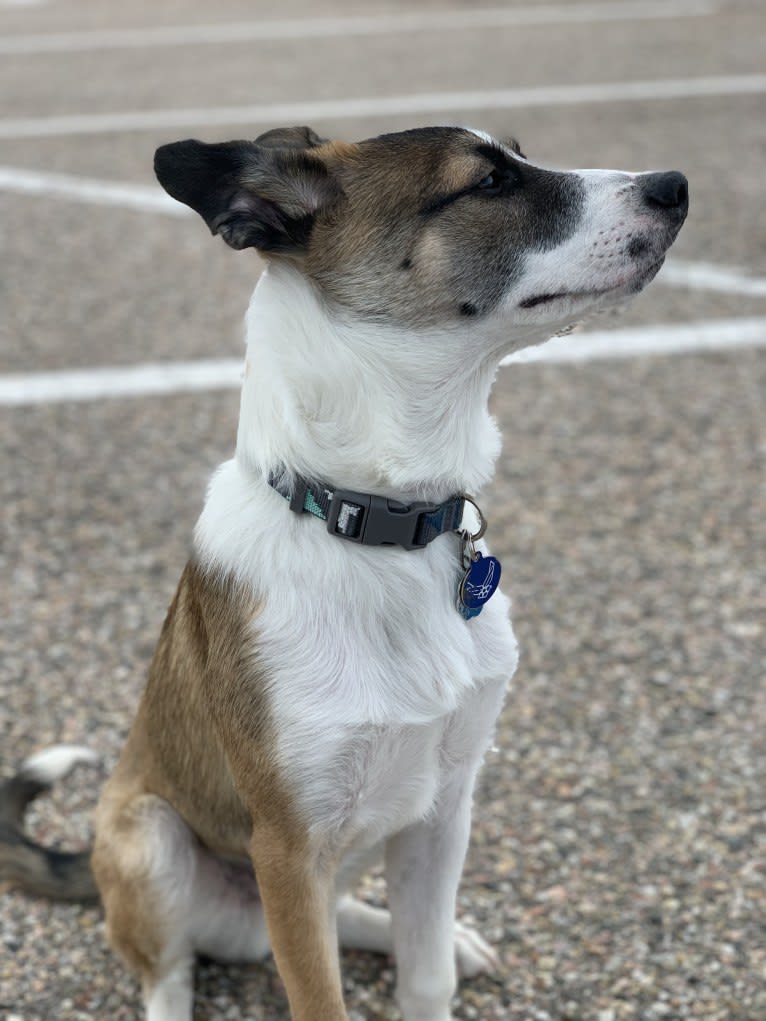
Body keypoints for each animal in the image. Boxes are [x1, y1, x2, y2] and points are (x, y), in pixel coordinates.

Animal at [0, 125, 694, 1021]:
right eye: (488, 182)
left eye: (516, 153)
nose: (675, 186)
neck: (372, 522)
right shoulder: (288, 849)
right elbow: (317, 994)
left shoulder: (443, 809)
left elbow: (424, 974)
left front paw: (437, 957)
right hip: (151, 838)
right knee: (168, 971)